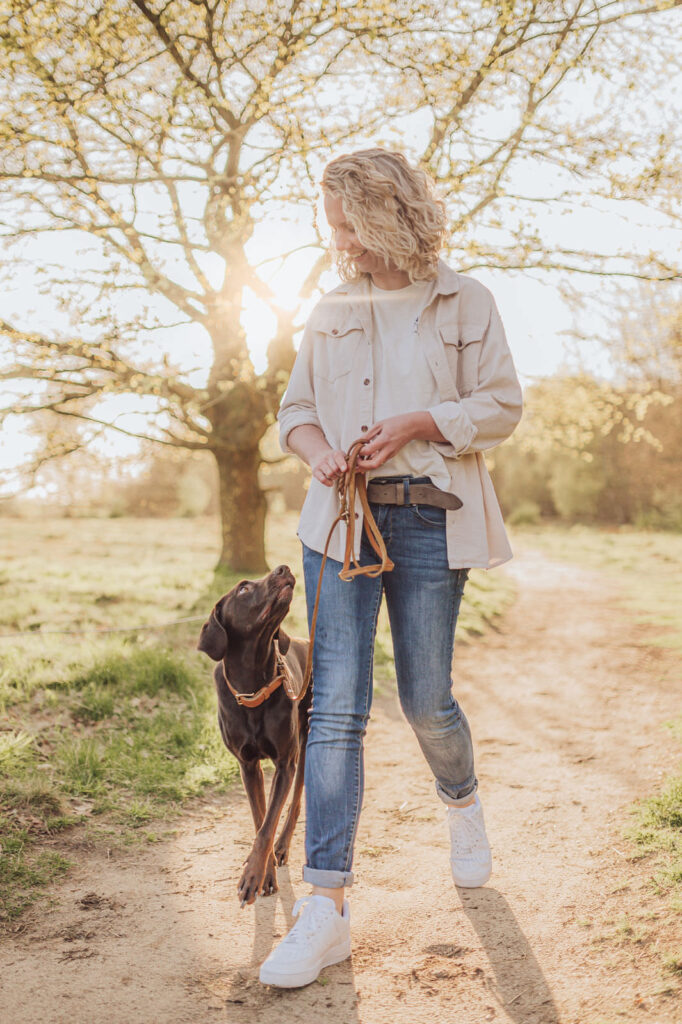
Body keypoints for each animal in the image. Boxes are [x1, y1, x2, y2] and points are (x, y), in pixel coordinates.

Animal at [196, 565, 311, 909]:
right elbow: (261, 818)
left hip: (305, 744)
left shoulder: (285, 763)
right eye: (243, 589)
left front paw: (253, 876)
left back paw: (284, 845)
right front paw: (265, 874)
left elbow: (267, 826)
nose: (284, 567)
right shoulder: (248, 766)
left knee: (295, 801)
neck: (254, 684)